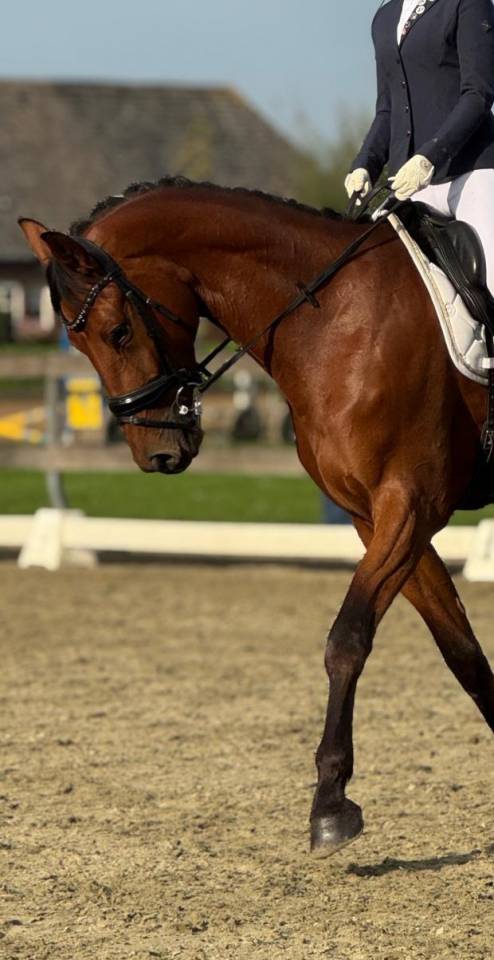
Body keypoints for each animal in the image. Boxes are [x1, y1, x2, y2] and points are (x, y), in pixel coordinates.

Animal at [19, 175, 494, 858]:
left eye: (118, 332)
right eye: (78, 341)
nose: (156, 453)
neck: (333, 319)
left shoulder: (411, 503)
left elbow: (346, 639)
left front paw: (330, 806)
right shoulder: (378, 518)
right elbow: (462, 652)